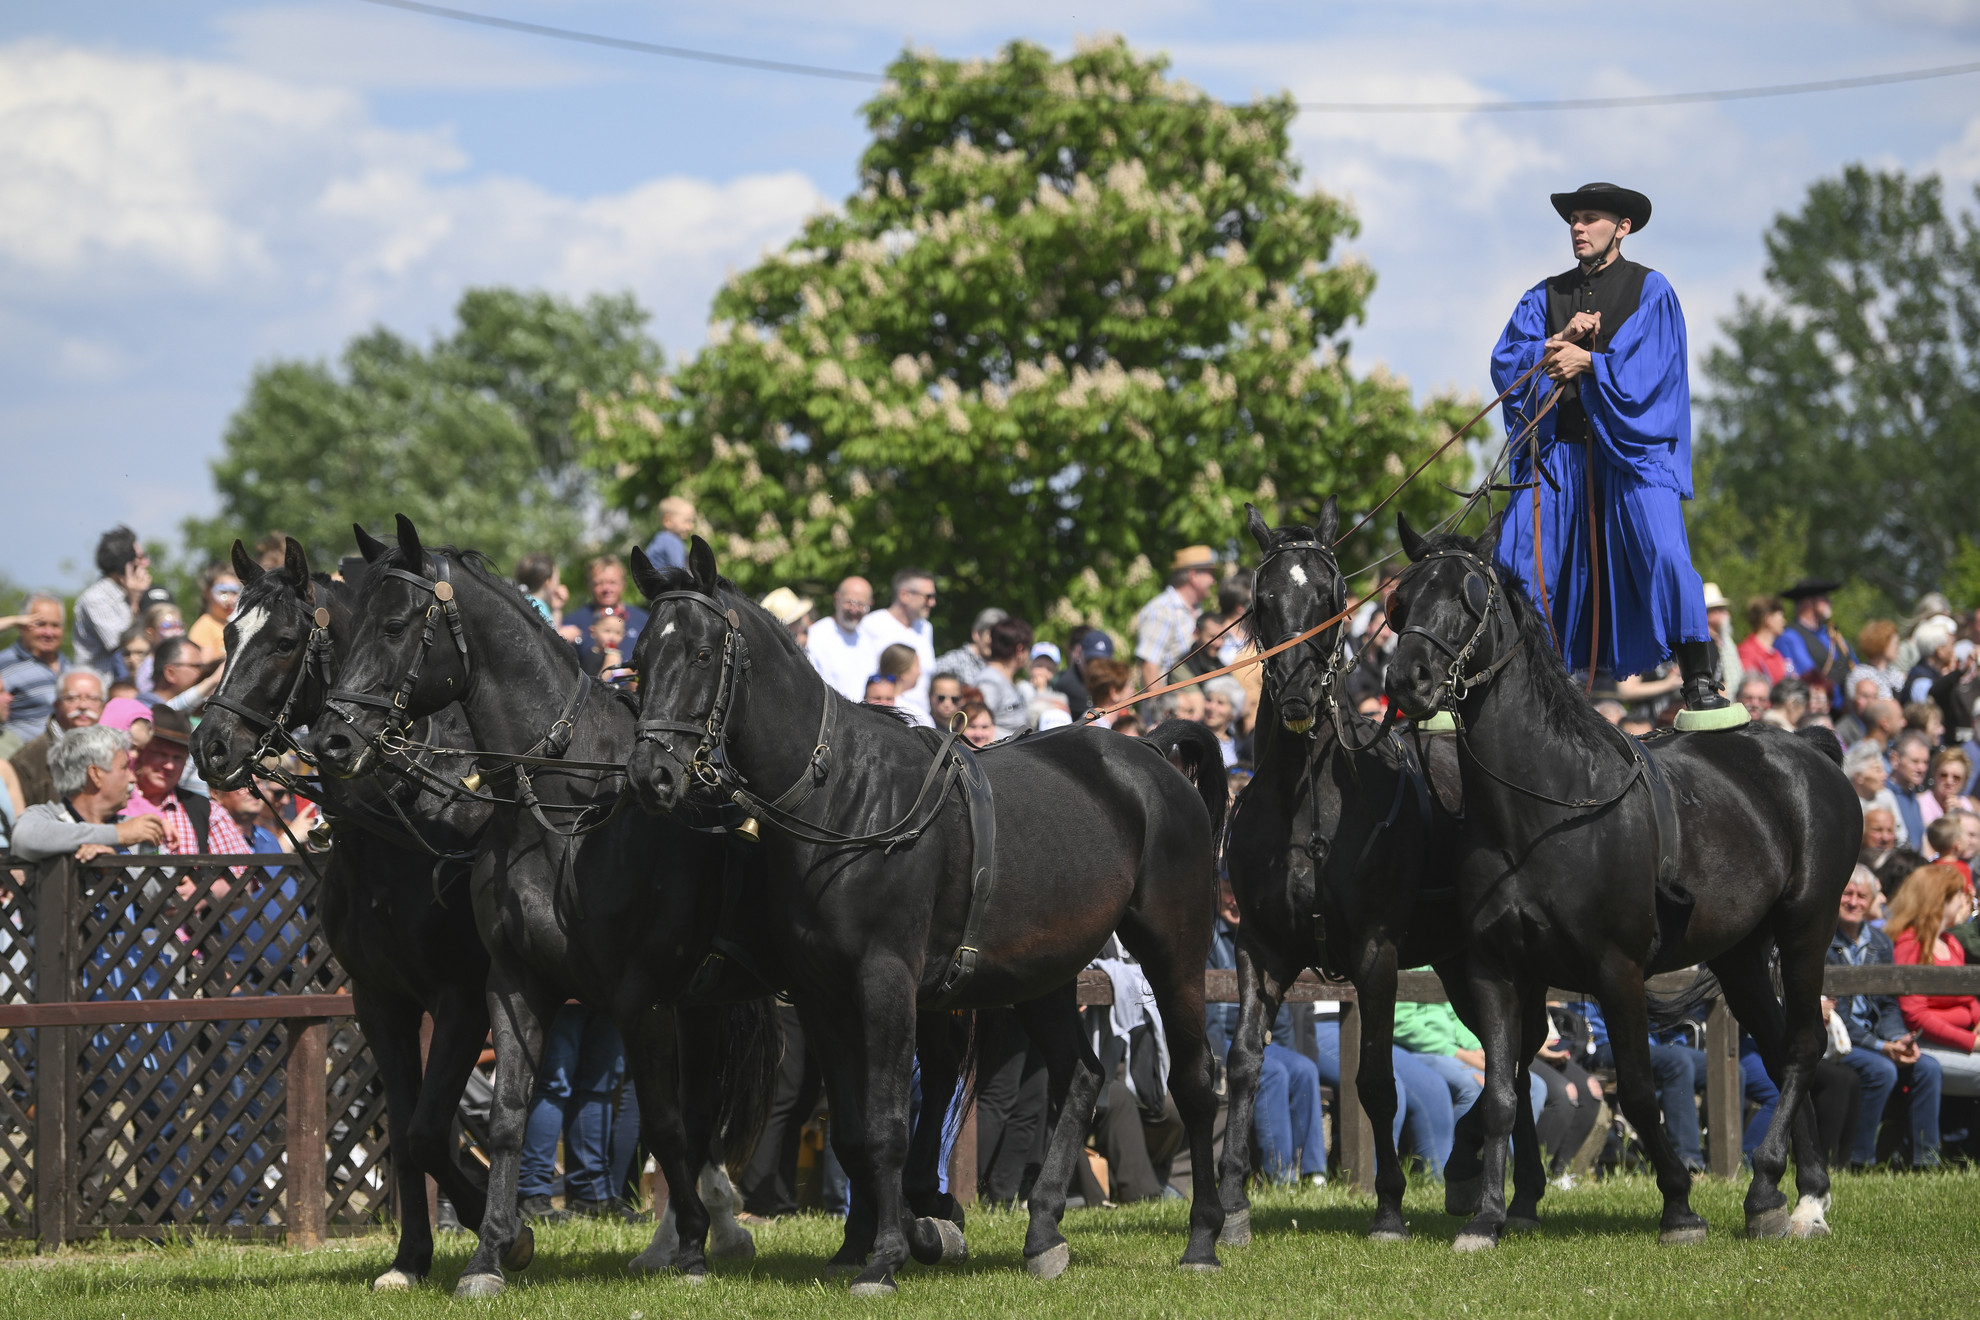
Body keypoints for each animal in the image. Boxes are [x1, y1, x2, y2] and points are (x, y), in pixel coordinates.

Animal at [191, 538, 518, 1290]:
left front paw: (501, 1234)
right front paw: (410, 1258)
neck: (399, 822)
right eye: (227, 636)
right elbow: (404, 1133)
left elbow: (426, 1131)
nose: (211, 747)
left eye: (285, 642)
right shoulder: (380, 1001)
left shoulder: (462, 998)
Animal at [304, 518, 776, 1298]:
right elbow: (502, 1119)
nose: (335, 739)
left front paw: (692, 1253)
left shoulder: (635, 996)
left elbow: (664, 1122)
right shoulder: (510, 984)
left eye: (395, 626)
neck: (564, 802)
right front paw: (491, 1254)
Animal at [625, 538, 1227, 1298]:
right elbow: (852, 1130)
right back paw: (1043, 1231)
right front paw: (883, 1239)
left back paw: (1205, 1237)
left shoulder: (885, 982)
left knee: (1194, 1082)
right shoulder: (820, 995)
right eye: (640, 658)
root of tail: (1149, 754)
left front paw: (886, 1255)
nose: (651, 776)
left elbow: (886, 1123)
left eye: (702, 654)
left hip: (1175, 950)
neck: (844, 799)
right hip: (1042, 975)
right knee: (1083, 1075)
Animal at [1219, 500, 1560, 1242]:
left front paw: (1388, 1207)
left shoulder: (1376, 954)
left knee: (1518, 1054)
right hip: (1460, 963)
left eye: (1331, 598)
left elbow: (1376, 1080)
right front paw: (1229, 1206)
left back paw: (1499, 1182)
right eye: (1263, 601)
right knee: (1510, 1059)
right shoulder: (1260, 949)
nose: (1298, 695)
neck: (1306, 804)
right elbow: (1244, 1061)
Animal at [1386, 514, 1861, 1250]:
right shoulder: (1494, 968)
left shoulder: (1618, 968)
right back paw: (1789, 1192)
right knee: (1782, 1042)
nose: (1408, 678)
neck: (1545, 807)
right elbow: (1501, 1092)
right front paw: (1488, 1217)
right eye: (1401, 601)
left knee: (1804, 1045)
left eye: (1470, 598)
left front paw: (1680, 1205)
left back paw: (1784, 1191)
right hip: (1740, 952)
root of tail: (1808, 748)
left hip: (1807, 924)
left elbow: (1636, 1089)